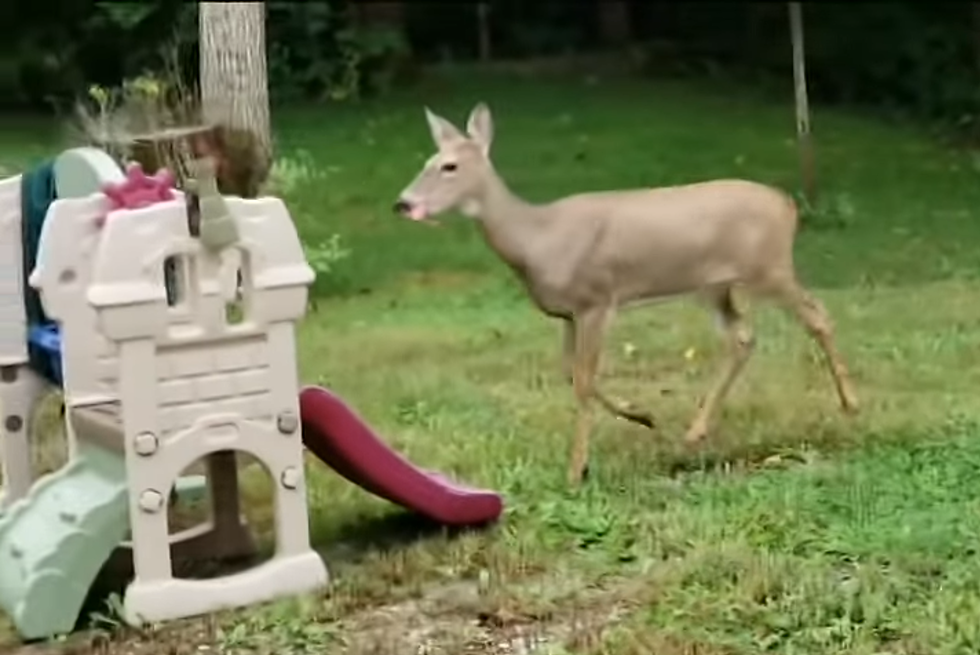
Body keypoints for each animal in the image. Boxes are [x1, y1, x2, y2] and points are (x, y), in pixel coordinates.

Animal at [390, 102, 856, 490]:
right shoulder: (568, 313)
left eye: (449, 166)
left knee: (818, 316)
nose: (403, 203)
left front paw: (576, 470)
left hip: (769, 267)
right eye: (427, 161)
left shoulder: (597, 300)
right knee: (743, 337)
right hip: (716, 285)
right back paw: (695, 431)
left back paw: (850, 405)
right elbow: (572, 375)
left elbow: (582, 381)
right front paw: (643, 415)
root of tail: (788, 205)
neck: (536, 238)